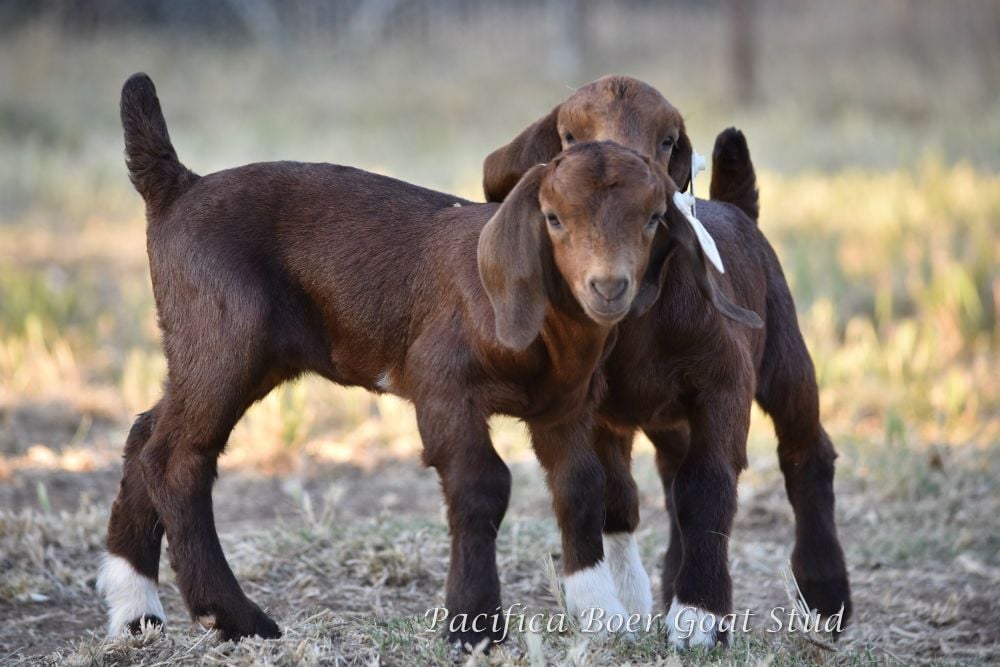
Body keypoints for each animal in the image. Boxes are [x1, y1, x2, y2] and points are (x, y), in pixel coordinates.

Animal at [98, 73, 682, 646]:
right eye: (554, 219)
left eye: (654, 218)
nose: (609, 286)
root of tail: (178, 186)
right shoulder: (441, 380)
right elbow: (482, 483)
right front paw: (474, 624)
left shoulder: (565, 404)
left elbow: (581, 489)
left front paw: (602, 613)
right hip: (224, 334)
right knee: (177, 459)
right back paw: (235, 617)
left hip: (223, 351)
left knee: (146, 434)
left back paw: (136, 612)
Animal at [483, 75, 851, 648]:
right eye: (569, 135)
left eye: (668, 140)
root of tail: (737, 208)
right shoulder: (587, 405)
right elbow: (600, 490)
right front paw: (619, 604)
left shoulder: (723, 381)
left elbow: (709, 484)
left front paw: (700, 615)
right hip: (665, 414)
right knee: (673, 469)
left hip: (784, 353)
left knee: (805, 450)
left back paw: (825, 591)